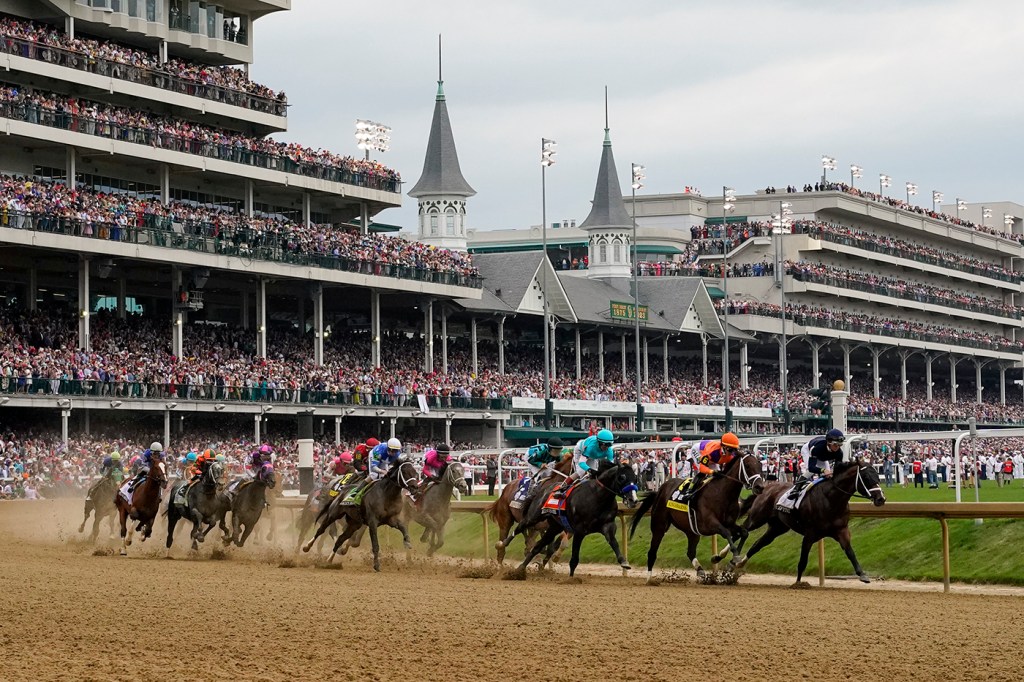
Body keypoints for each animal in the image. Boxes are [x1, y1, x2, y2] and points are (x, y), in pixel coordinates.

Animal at [497, 458, 634, 577]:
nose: (633, 500)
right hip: (532, 517)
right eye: (622, 477)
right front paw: (571, 578)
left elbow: (614, 543)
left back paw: (520, 569)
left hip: (554, 526)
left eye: (635, 478)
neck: (597, 496)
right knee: (519, 528)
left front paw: (624, 562)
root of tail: (544, 489)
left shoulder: (607, 525)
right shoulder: (579, 530)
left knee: (537, 546)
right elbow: (574, 557)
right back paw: (502, 545)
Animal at [626, 448, 765, 581]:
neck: (722, 493)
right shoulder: (710, 524)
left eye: (760, 465)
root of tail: (660, 489)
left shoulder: (730, 523)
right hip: (659, 525)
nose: (760, 487)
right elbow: (726, 533)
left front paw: (724, 559)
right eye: (747, 465)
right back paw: (649, 579)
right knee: (652, 552)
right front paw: (733, 557)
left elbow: (744, 533)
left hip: (691, 531)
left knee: (690, 552)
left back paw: (701, 572)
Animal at [733, 454, 884, 581]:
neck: (831, 500)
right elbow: (802, 562)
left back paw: (739, 564)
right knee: (743, 530)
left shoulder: (842, 531)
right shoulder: (810, 534)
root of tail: (765, 487)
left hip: (778, 527)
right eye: (866, 477)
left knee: (757, 544)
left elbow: (850, 552)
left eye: (877, 476)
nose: (881, 499)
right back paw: (732, 557)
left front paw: (862, 574)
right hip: (757, 518)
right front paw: (798, 584)